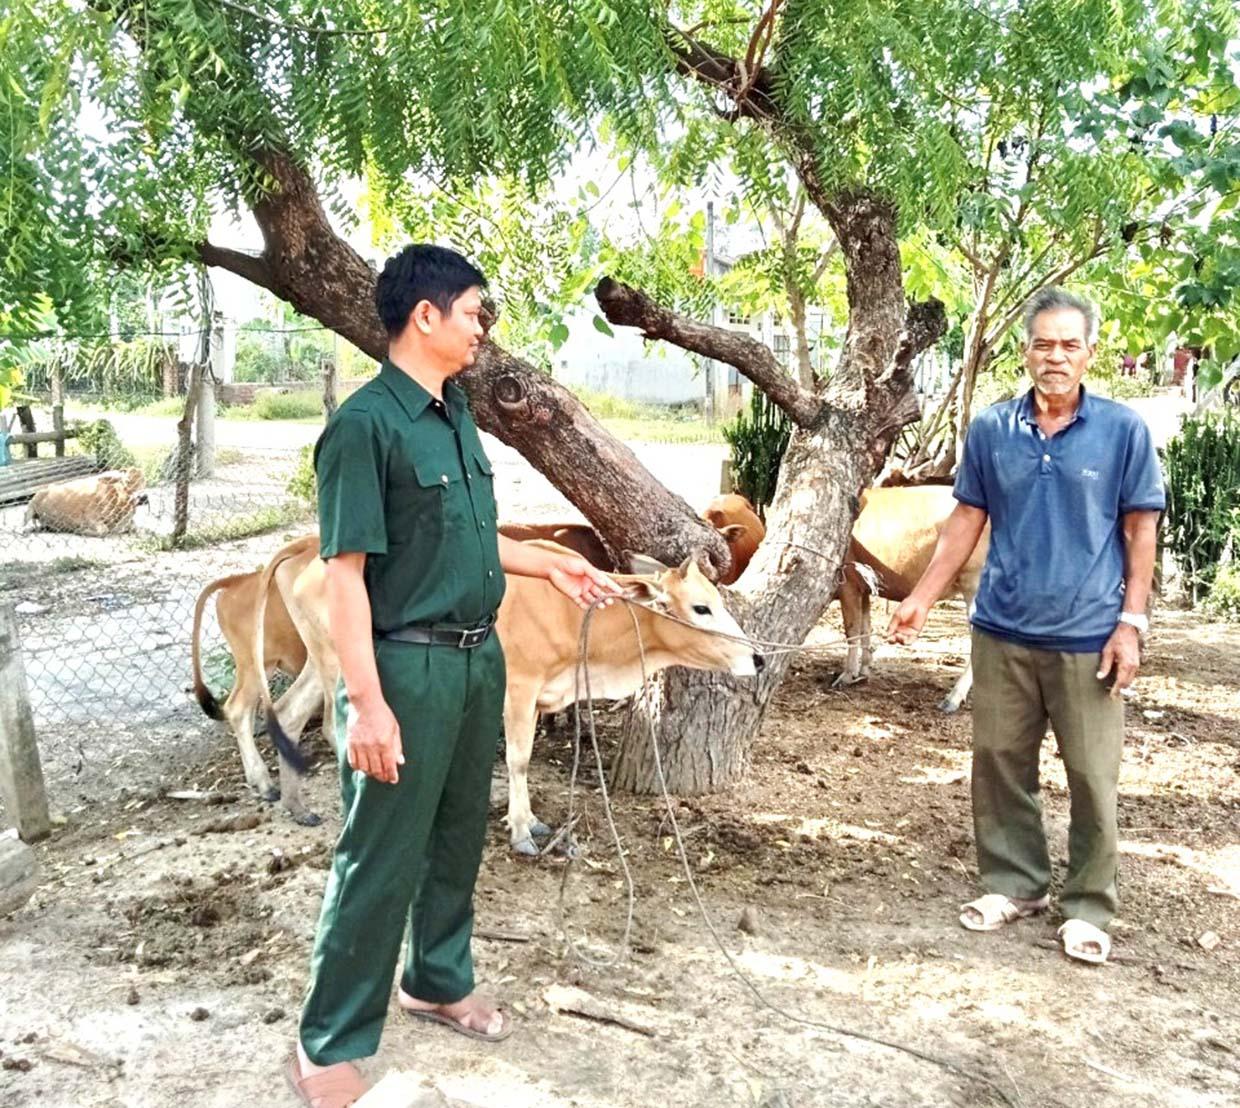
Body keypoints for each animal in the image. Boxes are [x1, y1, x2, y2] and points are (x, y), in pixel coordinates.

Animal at [255, 537, 758, 857]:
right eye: (701, 607)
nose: (757, 658)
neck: (574, 616)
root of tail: (307, 562)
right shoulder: (520, 688)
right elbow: (519, 760)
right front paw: (521, 831)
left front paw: (532, 820)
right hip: (342, 666)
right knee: (334, 728)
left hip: (320, 660)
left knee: (289, 713)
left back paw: (297, 805)